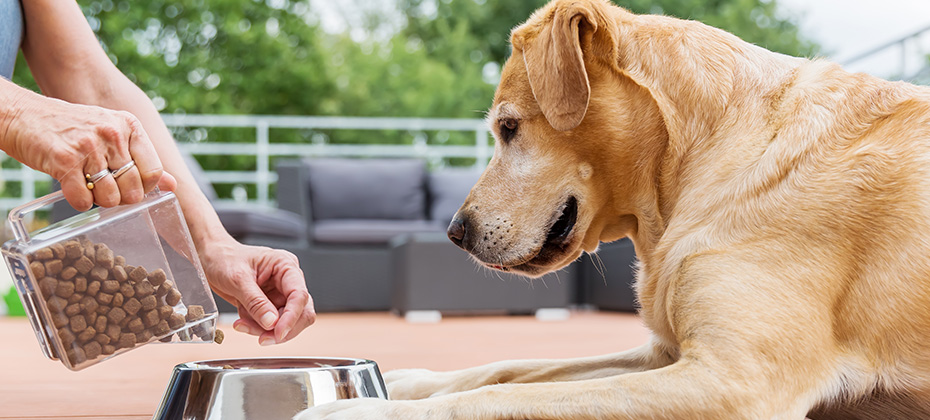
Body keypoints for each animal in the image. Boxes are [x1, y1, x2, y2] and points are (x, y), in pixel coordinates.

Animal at [298, 0, 928, 420]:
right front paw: (403, 380)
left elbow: (504, 396)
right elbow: (510, 369)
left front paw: (358, 410)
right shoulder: (664, 354)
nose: (454, 232)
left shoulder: (736, 380)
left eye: (509, 127)